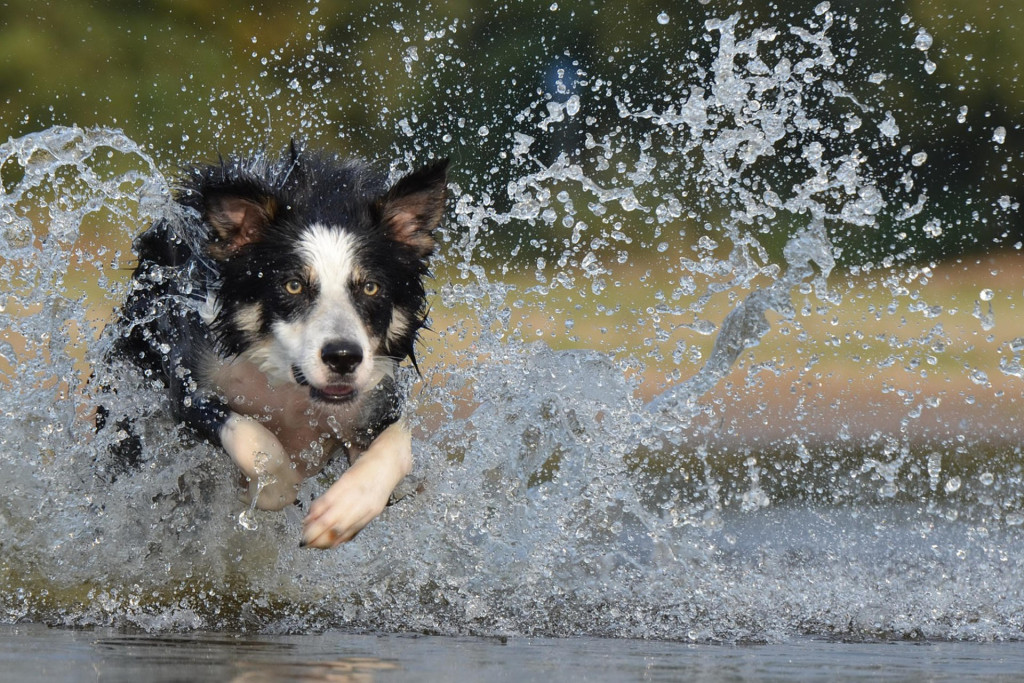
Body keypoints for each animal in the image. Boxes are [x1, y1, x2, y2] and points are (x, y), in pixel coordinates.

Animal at [113, 144, 448, 548]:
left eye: (371, 287)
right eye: (293, 285)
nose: (343, 357)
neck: (289, 386)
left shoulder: (376, 397)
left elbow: (399, 443)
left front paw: (343, 511)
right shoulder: (191, 382)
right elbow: (254, 439)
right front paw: (274, 486)